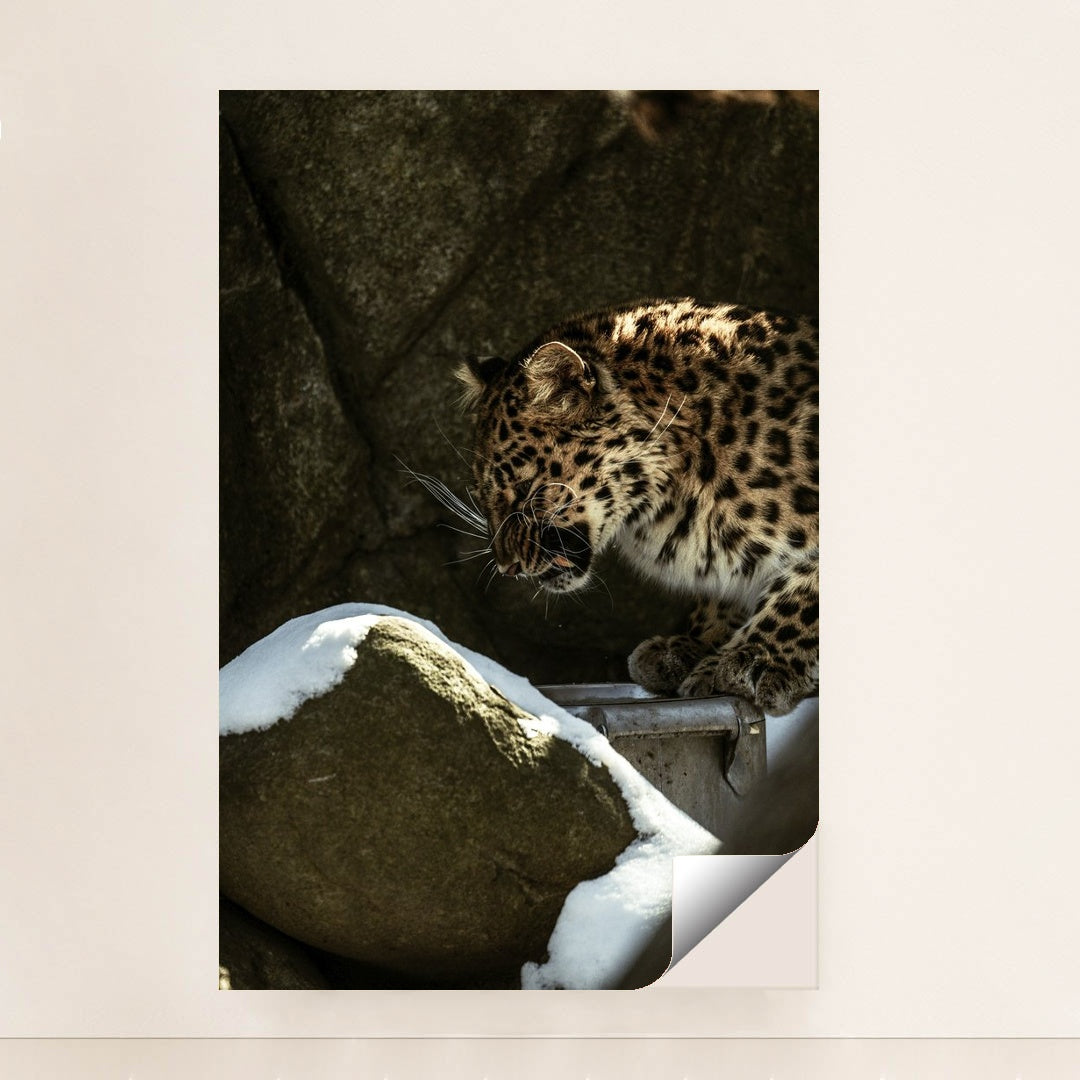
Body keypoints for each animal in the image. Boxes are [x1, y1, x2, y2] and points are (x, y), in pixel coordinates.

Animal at [453, 297, 818, 716]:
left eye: (525, 489)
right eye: (482, 494)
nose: (506, 566)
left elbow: (805, 590)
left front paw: (755, 660)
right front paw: (694, 644)